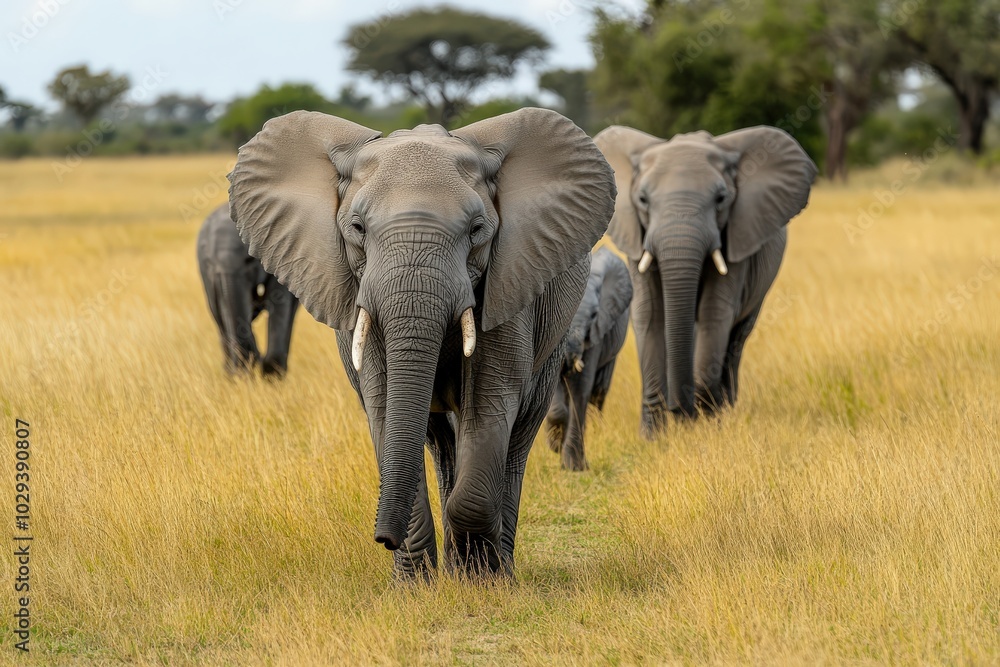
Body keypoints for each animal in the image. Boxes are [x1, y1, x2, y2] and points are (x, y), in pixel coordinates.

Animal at [227, 108, 616, 577]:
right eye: (357, 228)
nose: (382, 538)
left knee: (518, 436)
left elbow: (490, 404)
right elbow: (383, 406)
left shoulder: (509, 283)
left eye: (477, 230)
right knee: (440, 442)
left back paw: (497, 567)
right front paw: (417, 584)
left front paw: (479, 581)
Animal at [544, 246, 632, 471]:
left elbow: (580, 387)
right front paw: (556, 444)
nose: (569, 361)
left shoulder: (596, 332)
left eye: (593, 315)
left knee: (598, 392)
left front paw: (574, 468)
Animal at [593, 125, 816, 438]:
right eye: (643, 200)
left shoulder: (737, 236)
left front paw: (705, 430)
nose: (680, 411)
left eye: (721, 199)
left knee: (735, 340)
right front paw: (653, 438)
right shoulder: (637, 237)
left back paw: (725, 408)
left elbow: (715, 312)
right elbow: (649, 313)